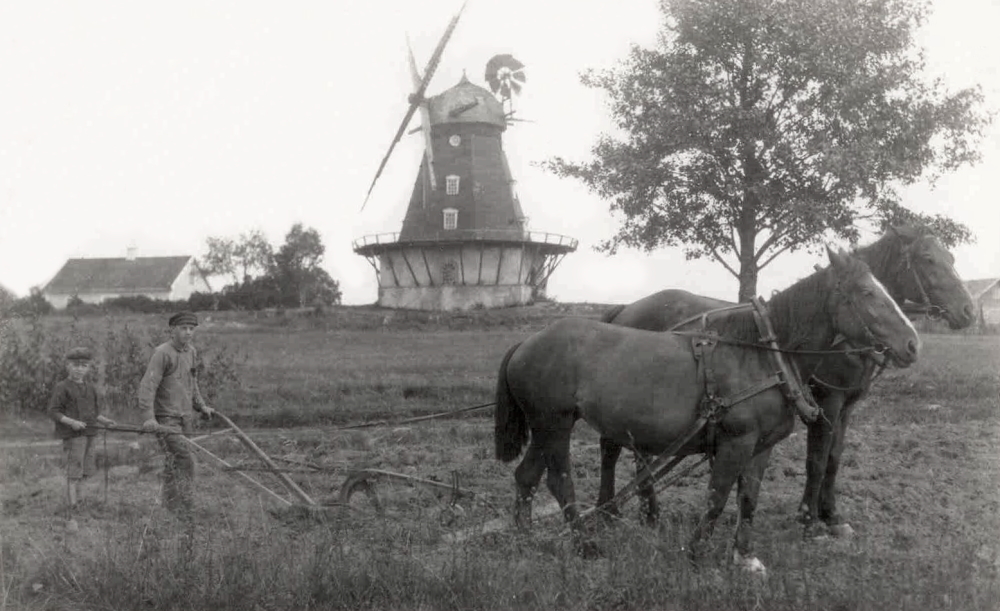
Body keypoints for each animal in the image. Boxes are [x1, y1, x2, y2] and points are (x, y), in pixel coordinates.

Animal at [496, 246, 916, 572]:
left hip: (546, 427)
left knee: (526, 476)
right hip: (555, 424)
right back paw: (586, 546)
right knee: (559, 482)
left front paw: (744, 558)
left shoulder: (761, 445)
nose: (913, 343)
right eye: (866, 292)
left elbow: (748, 498)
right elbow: (717, 496)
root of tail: (526, 343)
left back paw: (524, 539)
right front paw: (696, 553)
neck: (762, 355)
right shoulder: (736, 441)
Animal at [596, 227, 972, 536]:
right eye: (928, 260)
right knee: (614, 450)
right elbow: (816, 461)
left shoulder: (847, 407)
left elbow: (834, 460)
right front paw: (808, 519)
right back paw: (618, 512)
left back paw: (645, 513)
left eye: (953, 259)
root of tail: (625, 310)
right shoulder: (827, 403)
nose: (968, 311)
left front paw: (831, 516)